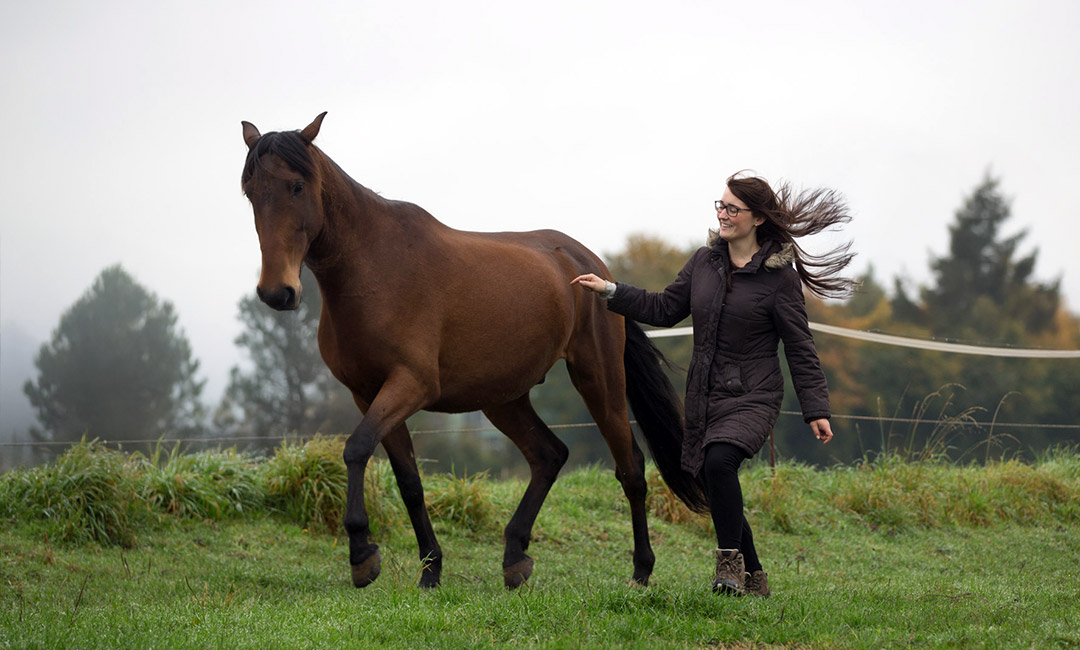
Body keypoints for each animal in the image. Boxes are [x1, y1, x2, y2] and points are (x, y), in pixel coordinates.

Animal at [238, 111, 708, 587]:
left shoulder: (411, 385)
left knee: (630, 467)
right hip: (503, 398)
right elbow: (408, 481)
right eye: (250, 192)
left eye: (297, 186)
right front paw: (430, 570)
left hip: (598, 377)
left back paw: (641, 570)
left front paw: (362, 553)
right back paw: (515, 557)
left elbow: (355, 448)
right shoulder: (368, 394)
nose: (277, 292)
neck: (374, 270)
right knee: (549, 455)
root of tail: (595, 269)